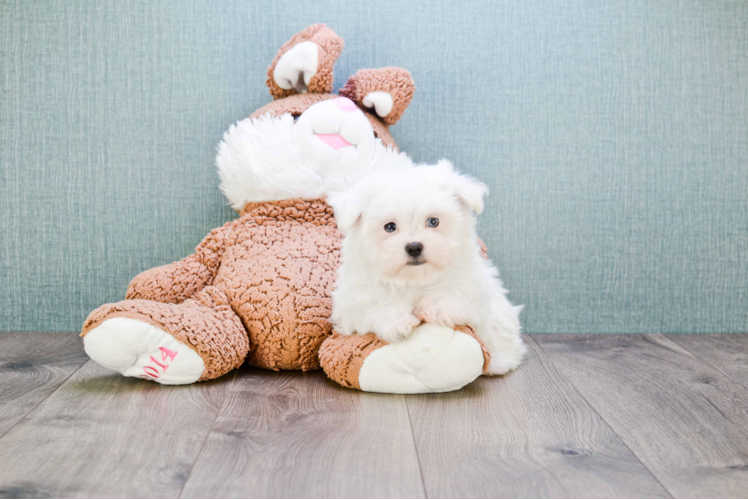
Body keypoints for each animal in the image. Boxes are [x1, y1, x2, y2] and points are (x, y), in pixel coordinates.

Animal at [330, 160, 528, 376]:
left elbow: (457, 298)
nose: (414, 247)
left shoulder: (473, 287)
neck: (415, 278)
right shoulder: (353, 302)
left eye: (433, 221)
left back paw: (500, 361)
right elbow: (374, 307)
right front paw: (398, 321)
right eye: (390, 227)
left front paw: (434, 308)